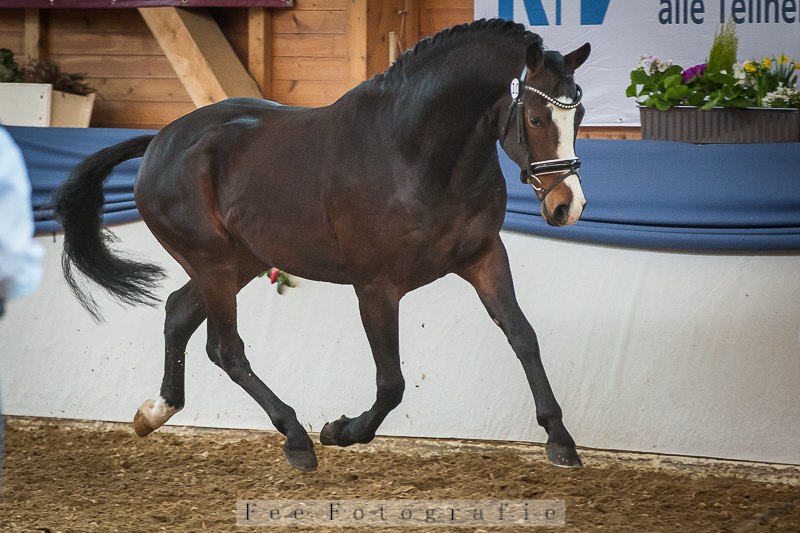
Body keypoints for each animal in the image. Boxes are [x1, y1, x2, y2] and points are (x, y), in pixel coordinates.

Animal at [52, 18, 591, 472]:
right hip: (212, 263)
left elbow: (523, 336)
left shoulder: (483, 257)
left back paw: (155, 412)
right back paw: (296, 438)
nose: (568, 206)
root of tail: (160, 139)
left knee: (178, 313)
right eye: (537, 118)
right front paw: (341, 430)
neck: (416, 154)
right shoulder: (375, 285)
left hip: (239, 260)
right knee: (225, 349)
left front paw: (560, 439)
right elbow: (391, 383)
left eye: (579, 113)